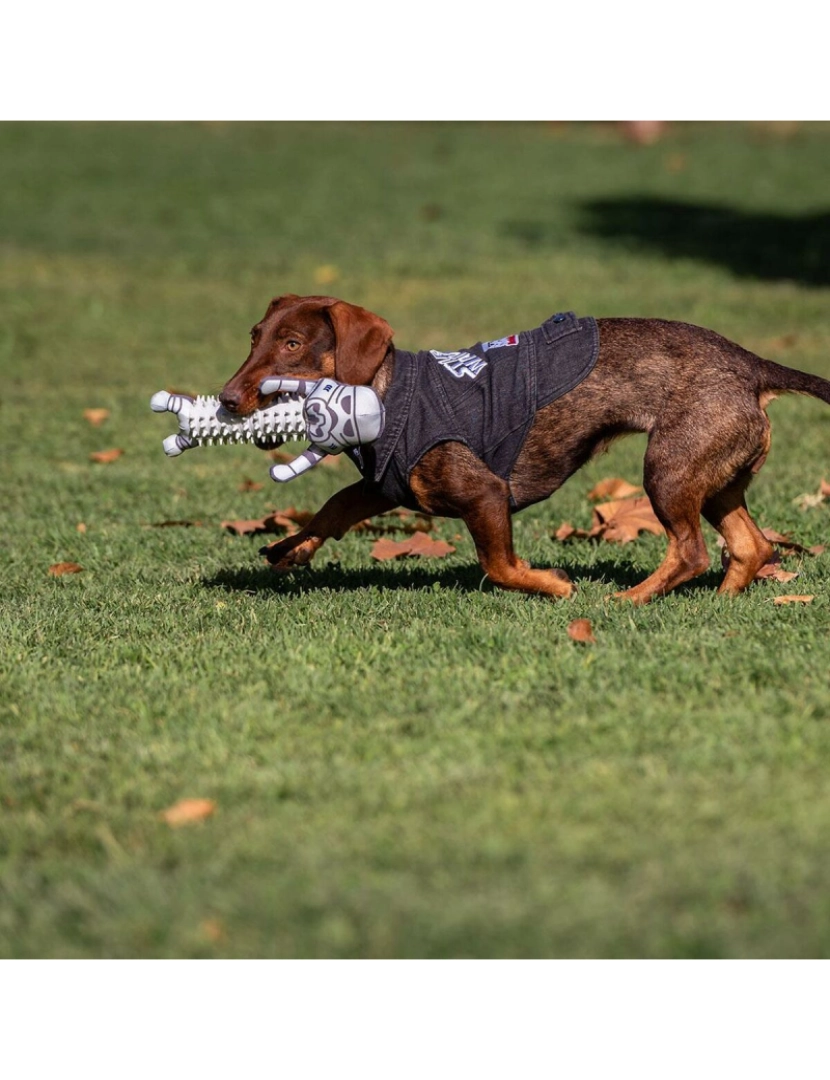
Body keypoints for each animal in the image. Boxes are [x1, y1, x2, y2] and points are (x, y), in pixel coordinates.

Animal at [220, 291, 828, 604]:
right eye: (253, 337)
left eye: (293, 344)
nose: (226, 399)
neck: (386, 395)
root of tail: (751, 365)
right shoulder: (386, 487)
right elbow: (334, 506)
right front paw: (293, 547)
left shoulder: (484, 493)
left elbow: (499, 565)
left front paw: (553, 584)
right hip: (714, 478)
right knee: (751, 547)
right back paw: (721, 600)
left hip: (667, 469)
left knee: (692, 551)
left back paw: (628, 600)